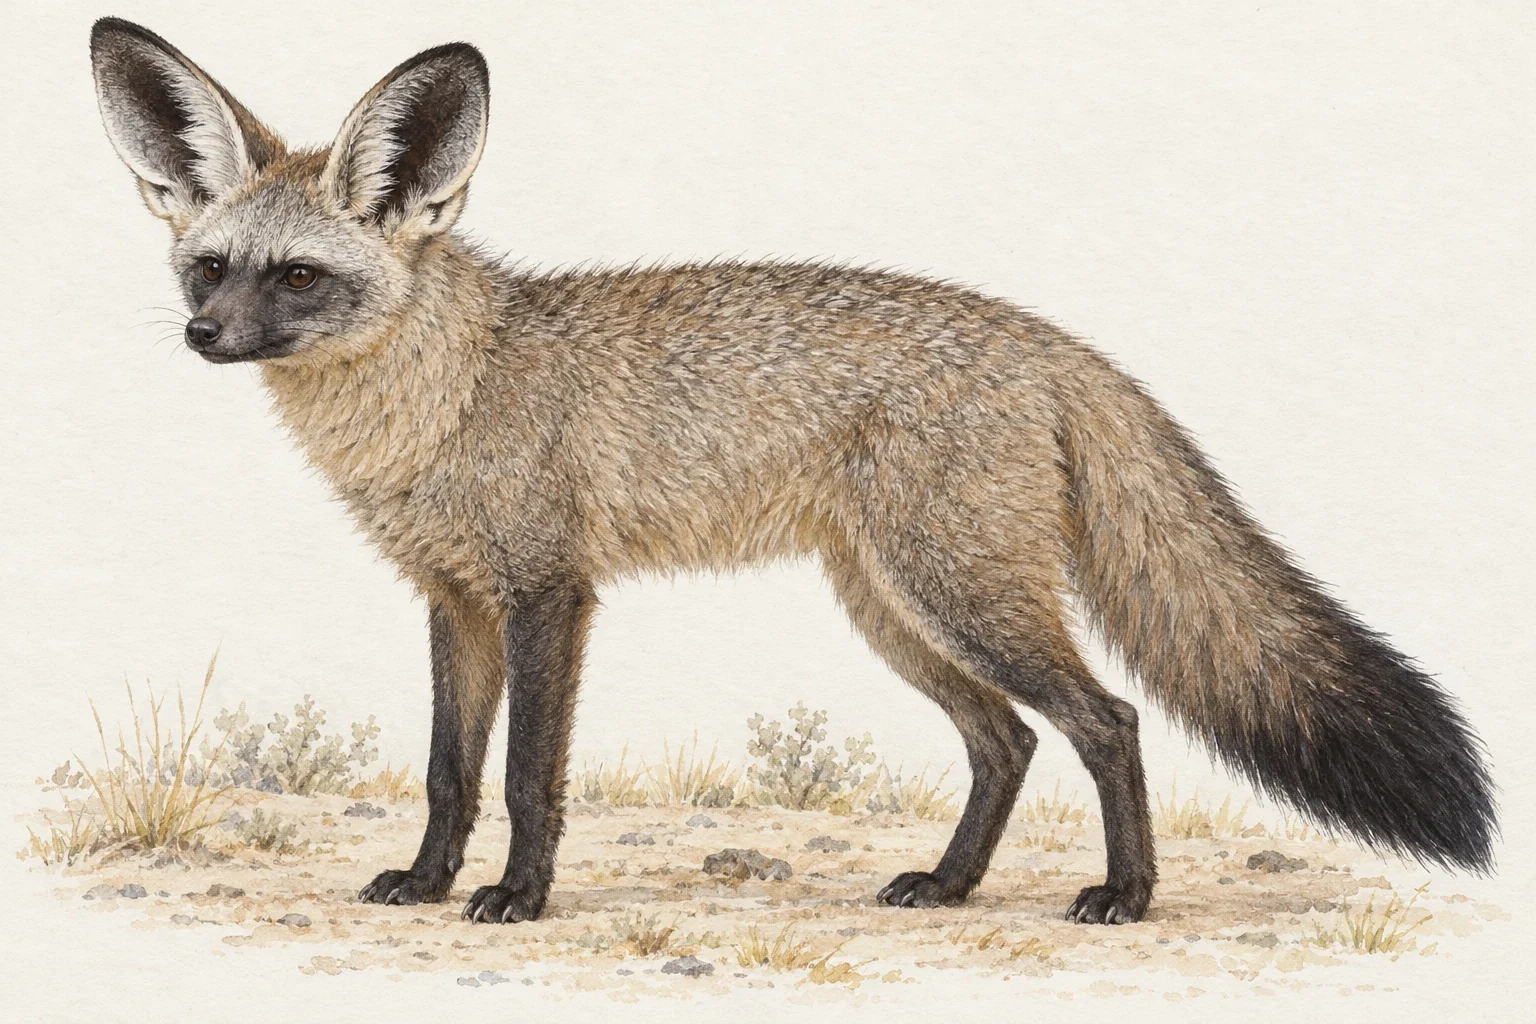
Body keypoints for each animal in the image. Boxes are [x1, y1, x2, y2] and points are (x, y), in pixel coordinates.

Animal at [89, 17, 1497, 927]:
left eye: (297, 276)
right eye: (209, 266)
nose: (203, 335)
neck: (449, 394)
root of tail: (1052, 340)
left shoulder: (550, 593)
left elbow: (529, 775)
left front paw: (518, 897)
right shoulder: (454, 599)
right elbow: (449, 768)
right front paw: (427, 883)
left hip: (960, 597)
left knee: (1107, 720)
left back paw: (1127, 894)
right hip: (893, 609)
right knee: (1006, 742)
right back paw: (950, 885)